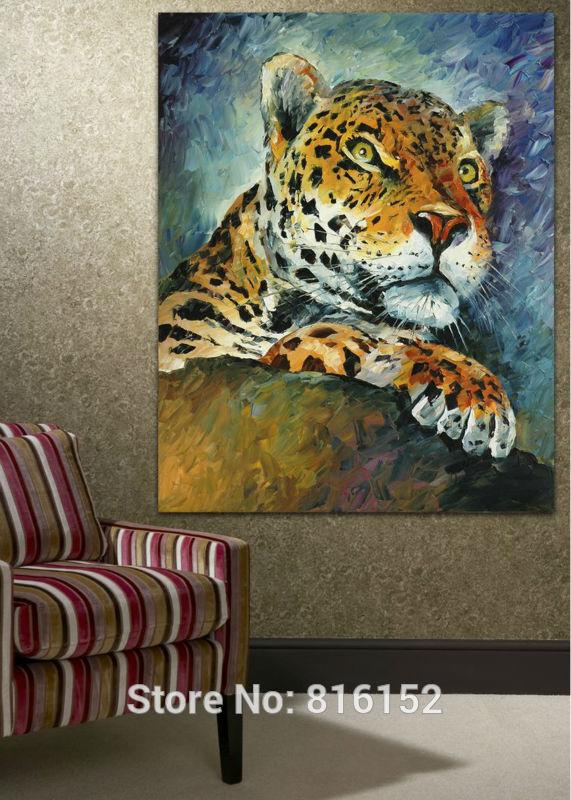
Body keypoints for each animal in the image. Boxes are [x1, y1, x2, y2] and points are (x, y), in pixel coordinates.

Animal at [159, 52, 516, 459]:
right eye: (363, 153)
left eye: (468, 170)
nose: (444, 224)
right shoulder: (184, 346)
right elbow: (340, 337)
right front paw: (469, 389)